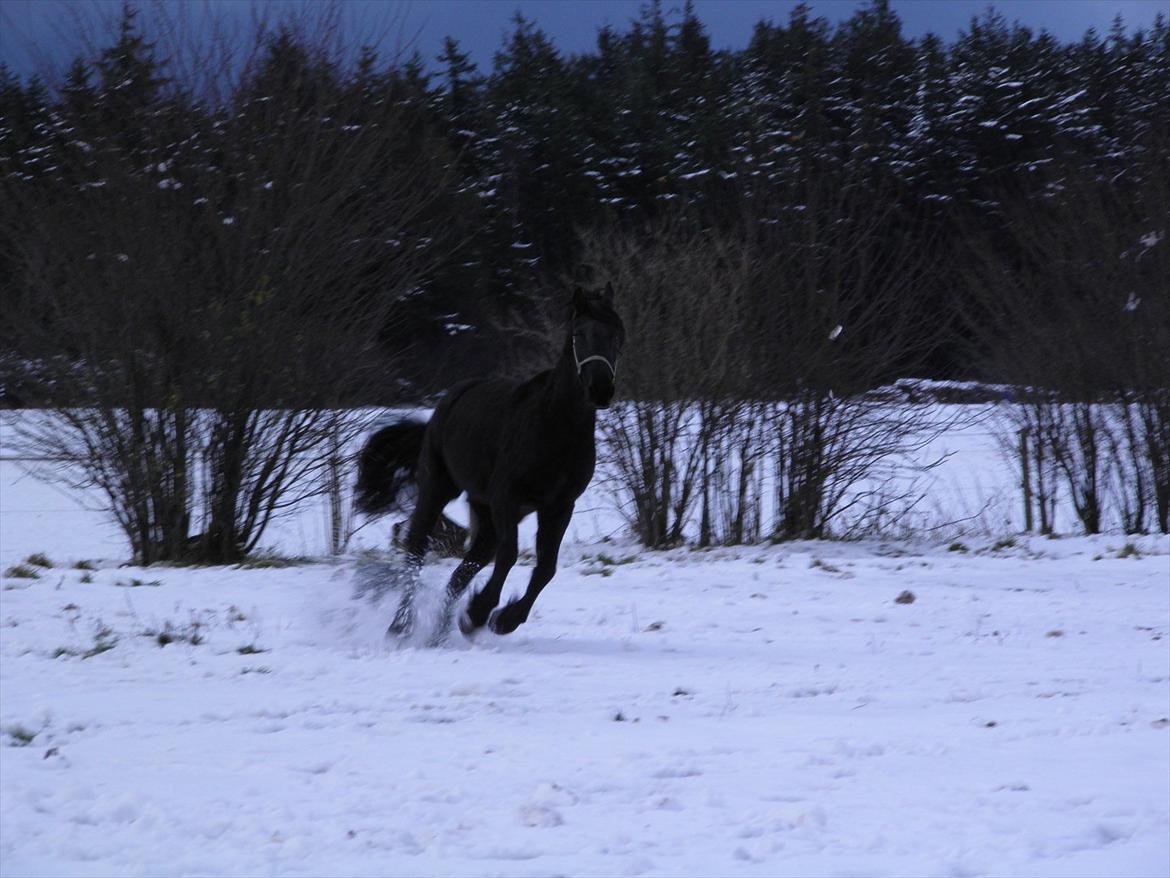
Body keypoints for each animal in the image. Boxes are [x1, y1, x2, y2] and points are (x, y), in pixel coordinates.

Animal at [355, 285, 627, 641]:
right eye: (579, 334)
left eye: (618, 335)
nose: (601, 389)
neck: (554, 428)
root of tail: (449, 401)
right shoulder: (506, 497)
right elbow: (510, 555)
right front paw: (480, 612)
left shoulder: (558, 506)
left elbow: (546, 567)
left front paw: (501, 618)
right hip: (439, 488)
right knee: (417, 548)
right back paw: (402, 626)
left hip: (485, 509)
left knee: (469, 563)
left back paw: (440, 630)